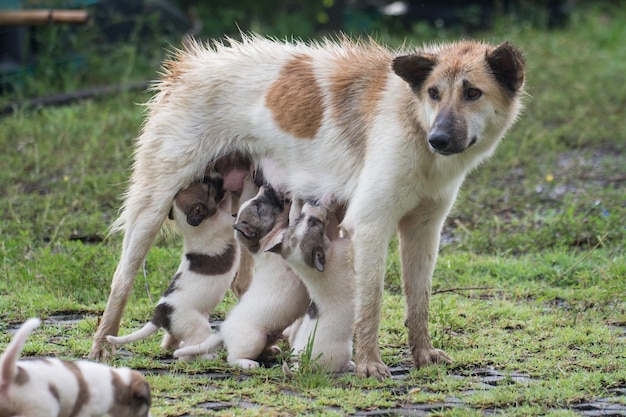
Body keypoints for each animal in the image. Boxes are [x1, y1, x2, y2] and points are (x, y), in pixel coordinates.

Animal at [106, 177, 238, 360]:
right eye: (208, 188)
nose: (218, 178)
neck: (192, 227)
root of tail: (160, 314)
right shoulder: (225, 222)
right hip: (197, 327)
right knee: (186, 352)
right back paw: (205, 357)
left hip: (178, 329)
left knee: (170, 343)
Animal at [171, 185, 310, 368]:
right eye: (257, 206)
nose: (265, 186)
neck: (264, 241)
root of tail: (223, 330)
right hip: (254, 338)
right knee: (233, 358)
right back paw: (247, 363)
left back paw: (271, 350)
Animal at [266, 200, 356, 372]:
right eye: (315, 223)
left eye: (298, 219)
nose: (312, 201)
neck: (309, 270)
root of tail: (301, 364)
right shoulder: (344, 250)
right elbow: (350, 236)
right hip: (344, 351)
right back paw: (349, 365)